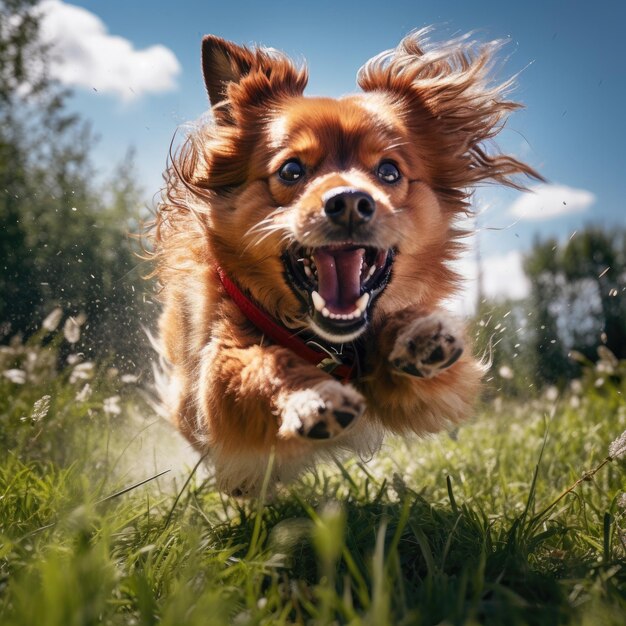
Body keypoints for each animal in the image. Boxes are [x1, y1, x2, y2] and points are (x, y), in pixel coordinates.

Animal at [149, 29, 540, 494]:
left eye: (389, 172)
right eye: (291, 170)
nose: (351, 201)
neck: (328, 347)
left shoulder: (444, 389)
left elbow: (413, 353)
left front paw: (415, 334)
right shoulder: (215, 384)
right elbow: (259, 365)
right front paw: (311, 396)